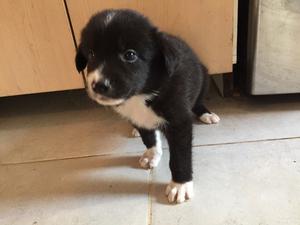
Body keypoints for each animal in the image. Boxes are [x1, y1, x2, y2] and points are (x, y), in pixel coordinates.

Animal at [75, 9, 220, 204]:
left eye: (130, 55)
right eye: (91, 54)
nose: (98, 85)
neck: (141, 94)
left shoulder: (179, 121)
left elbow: (180, 155)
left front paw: (180, 185)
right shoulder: (137, 116)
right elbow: (148, 136)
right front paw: (152, 153)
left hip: (204, 77)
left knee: (198, 101)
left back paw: (206, 114)